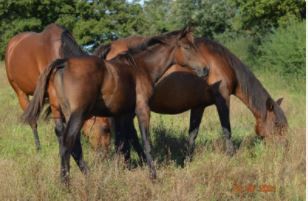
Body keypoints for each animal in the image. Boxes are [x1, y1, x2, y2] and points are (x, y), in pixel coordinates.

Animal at [4, 22, 112, 150]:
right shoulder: (54, 95)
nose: (107, 152)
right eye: (105, 128)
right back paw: (38, 148)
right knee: (33, 121)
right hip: (20, 93)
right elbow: (60, 129)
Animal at [22, 26, 208, 182]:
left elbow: (122, 143)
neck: (141, 67)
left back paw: (87, 177)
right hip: (77, 115)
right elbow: (145, 143)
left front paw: (121, 170)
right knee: (69, 143)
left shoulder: (123, 114)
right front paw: (153, 176)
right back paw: (66, 183)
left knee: (68, 142)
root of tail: (63, 63)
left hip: (61, 114)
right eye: (187, 47)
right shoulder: (142, 109)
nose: (205, 69)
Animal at [95, 35, 288, 160]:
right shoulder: (222, 99)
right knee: (123, 135)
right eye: (277, 125)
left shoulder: (198, 106)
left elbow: (192, 134)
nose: (284, 151)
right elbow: (226, 129)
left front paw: (187, 160)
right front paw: (232, 156)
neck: (220, 62)